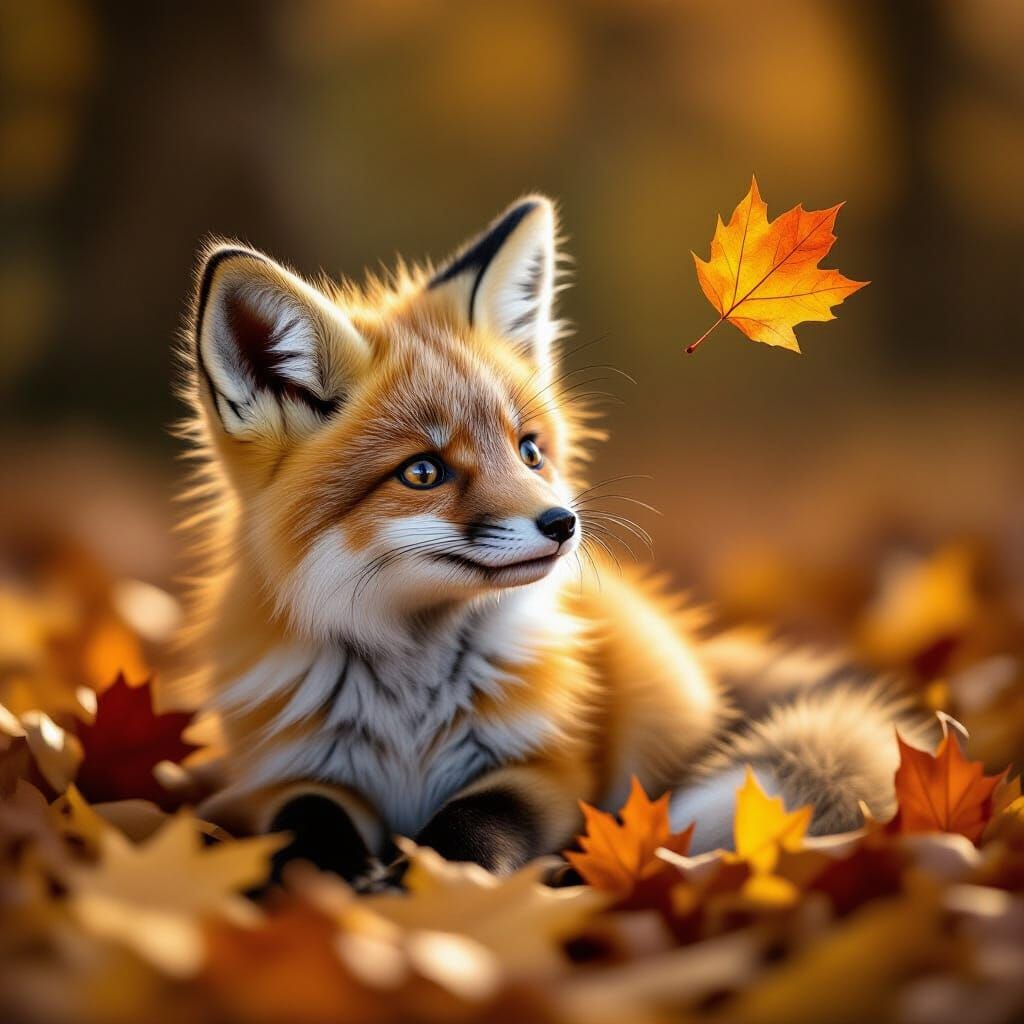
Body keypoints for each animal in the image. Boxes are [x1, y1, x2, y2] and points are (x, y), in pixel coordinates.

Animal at [168, 196, 931, 885]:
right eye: (423, 471)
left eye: (529, 451)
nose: (563, 524)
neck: (407, 707)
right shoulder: (285, 771)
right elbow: (302, 819)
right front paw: (331, 879)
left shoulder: (545, 769)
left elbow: (473, 824)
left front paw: (434, 882)